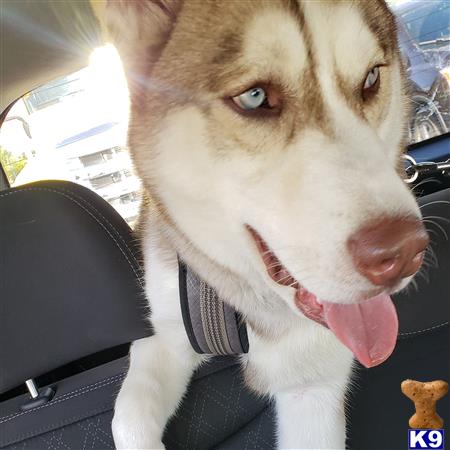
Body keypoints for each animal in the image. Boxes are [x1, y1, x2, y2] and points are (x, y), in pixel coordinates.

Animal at [103, 0, 428, 448]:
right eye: (254, 97)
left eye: (371, 79)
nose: (403, 252)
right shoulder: (163, 335)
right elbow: (129, 417)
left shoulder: (314, 384)